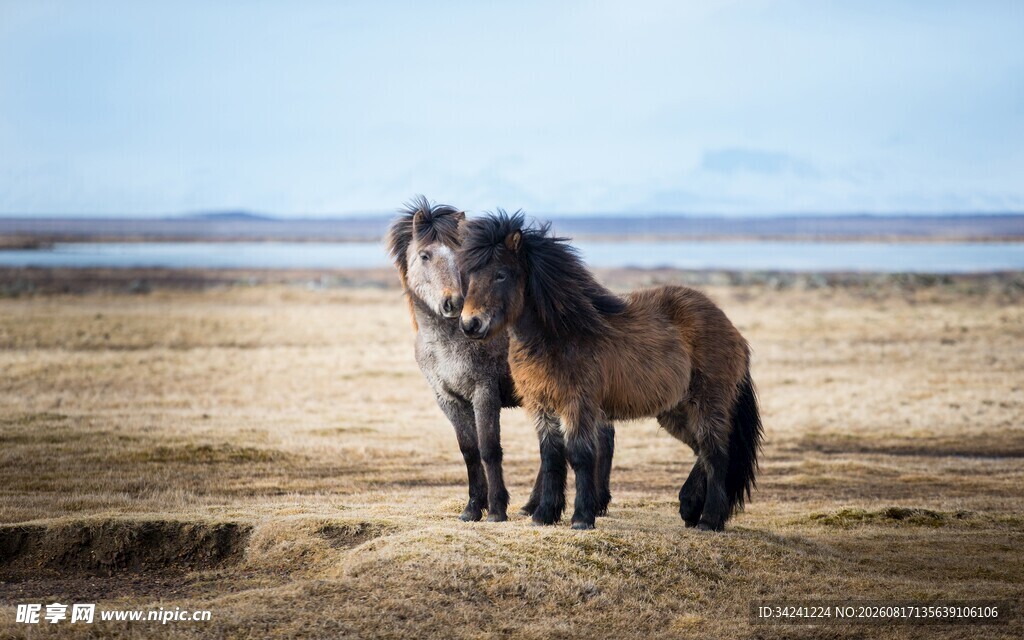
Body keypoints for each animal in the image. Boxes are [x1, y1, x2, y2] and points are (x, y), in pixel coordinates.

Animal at [385, 197, 617, 521]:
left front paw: (496, 508)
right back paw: (534, 505)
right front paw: (472, 508)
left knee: (600, 437)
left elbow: (489, 448)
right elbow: (469, 450)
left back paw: (594, 503)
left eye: (461, 257)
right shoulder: (447, 399)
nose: (453, 302)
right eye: (425, 255)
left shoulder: (484, 392)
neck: (448, 340)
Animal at [458, 210, 763, 531]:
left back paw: (709, 519)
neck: (561, 333)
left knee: (716, 454)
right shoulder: (541, 405)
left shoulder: (578, 404)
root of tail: (732, 330)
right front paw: (544, 515)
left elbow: (580, 456)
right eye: (471, 275)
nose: (470, 324)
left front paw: (582, 518)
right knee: (701, 451)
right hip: (675, 410)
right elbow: (551, 457)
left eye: (501, 274)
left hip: (707, 403)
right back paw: (689, 506)